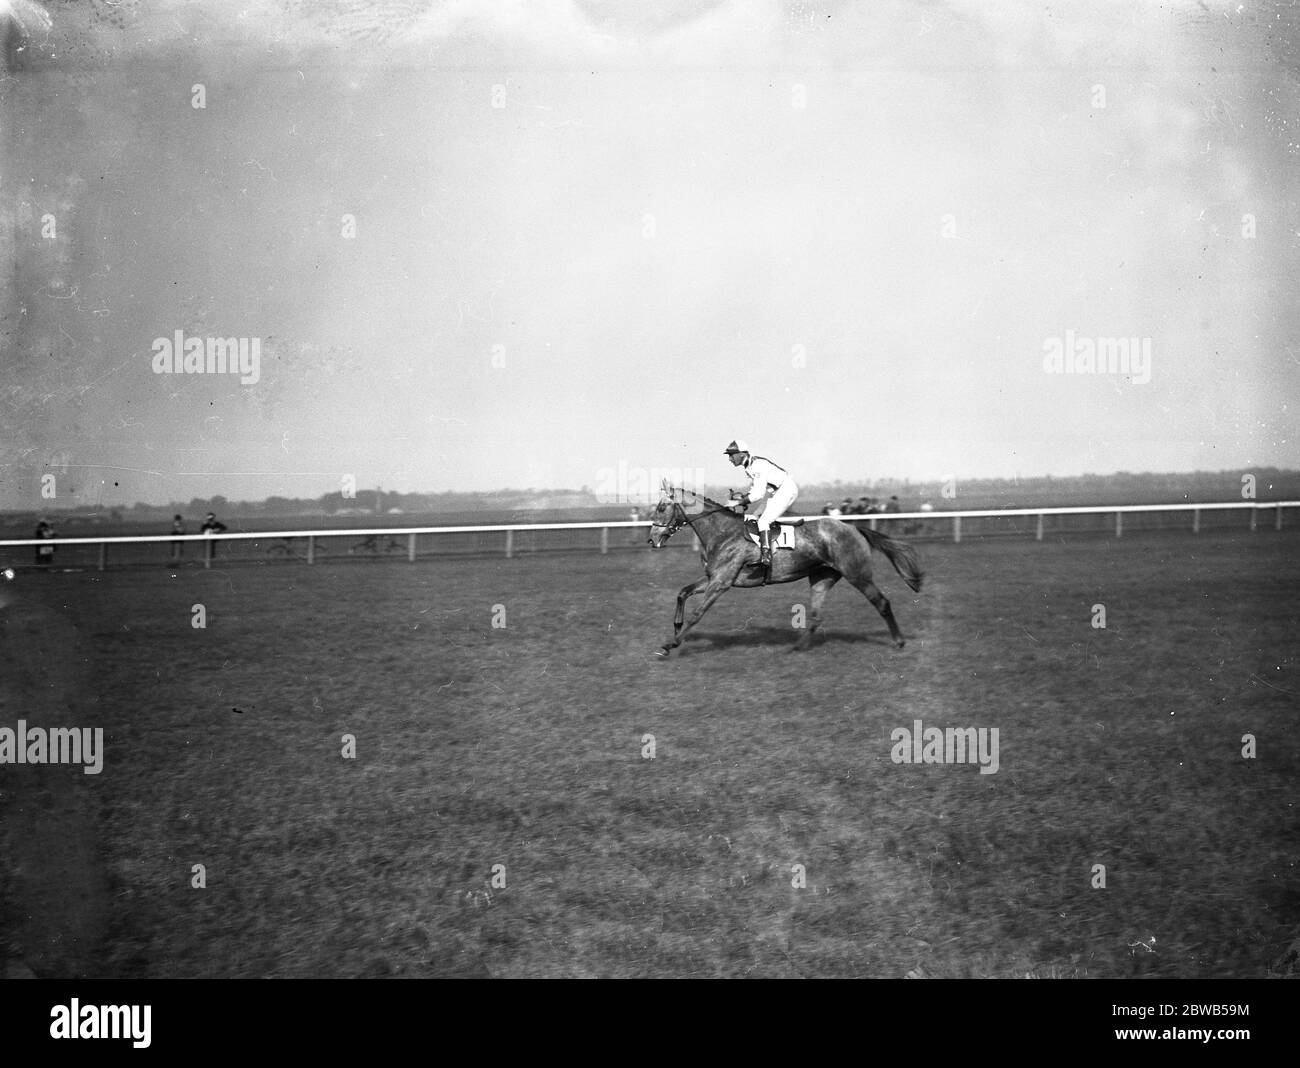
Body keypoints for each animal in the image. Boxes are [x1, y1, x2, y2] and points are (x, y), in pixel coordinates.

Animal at [644, 485, 920, 657]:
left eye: (661, 508)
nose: (652, 539)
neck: (722, 534)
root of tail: (854, 528)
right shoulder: (712, 578)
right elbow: (682, 592)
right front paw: (676, 628)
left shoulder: (721, 583)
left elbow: (697, 613)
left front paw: (671, 643)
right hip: (822, 577)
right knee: (816, 616)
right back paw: (796, 648)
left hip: (857, 574)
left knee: (882, 603)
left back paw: (899, 641)